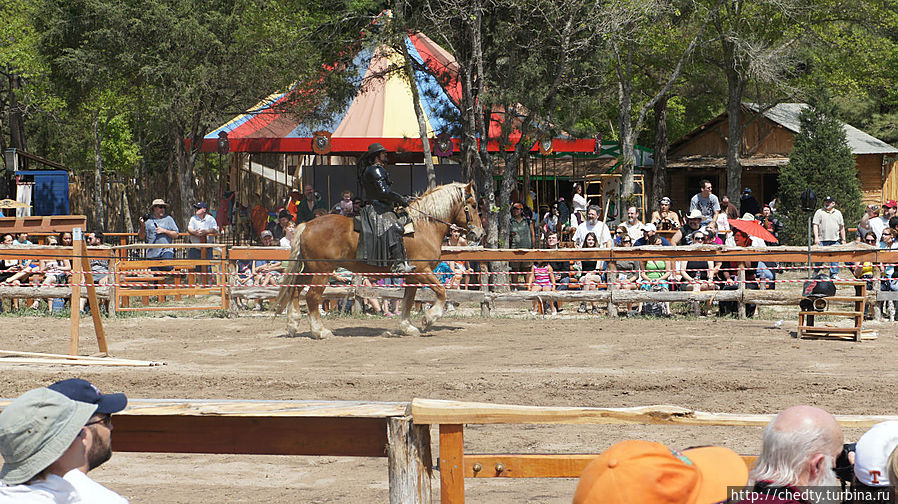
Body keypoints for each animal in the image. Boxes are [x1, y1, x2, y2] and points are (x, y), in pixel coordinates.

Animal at [272, 181, 484, 338]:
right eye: (473, 205)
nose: (479, 233)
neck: (424, 226)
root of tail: (307, 225)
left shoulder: (412, 276)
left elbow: (408, 300)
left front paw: (407, 327)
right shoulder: (423, 271)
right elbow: (441, 292)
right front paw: (429, 319)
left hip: (310, 269)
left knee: (295, 290)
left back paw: (293, 323)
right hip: (322, 271)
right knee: (312, 297)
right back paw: (319, 331)